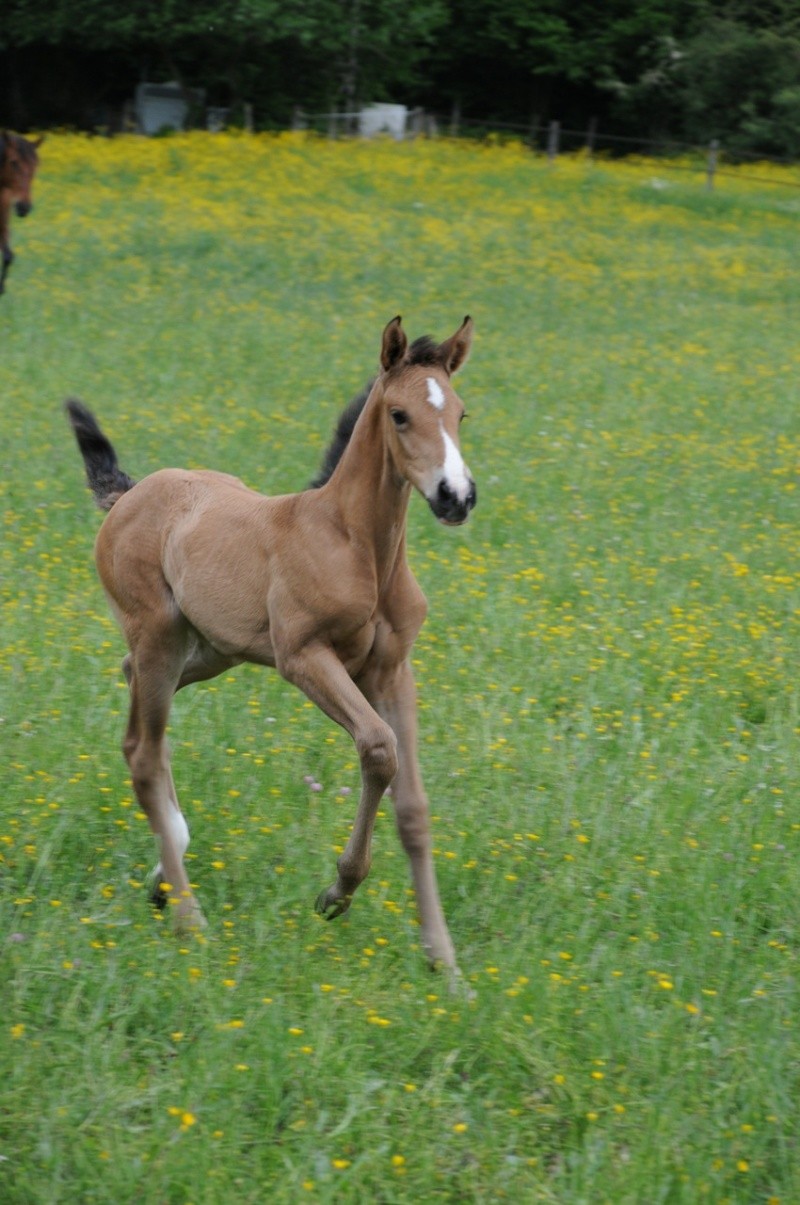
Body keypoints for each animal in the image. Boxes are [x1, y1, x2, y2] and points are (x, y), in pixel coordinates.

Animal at [67, 315, 474, 973]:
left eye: (462, 413)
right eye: (399, 415)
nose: (455, 496)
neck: (356, 545)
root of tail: (126, 495)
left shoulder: (392, 670)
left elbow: (413, 807)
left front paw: (445, 962)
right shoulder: (304, 657)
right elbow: (378, 749)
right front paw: (336, 893)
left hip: (206, 651)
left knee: (134, 706)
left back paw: (165, 870)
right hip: (160, 636)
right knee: (143, 752)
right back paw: (189, 919)